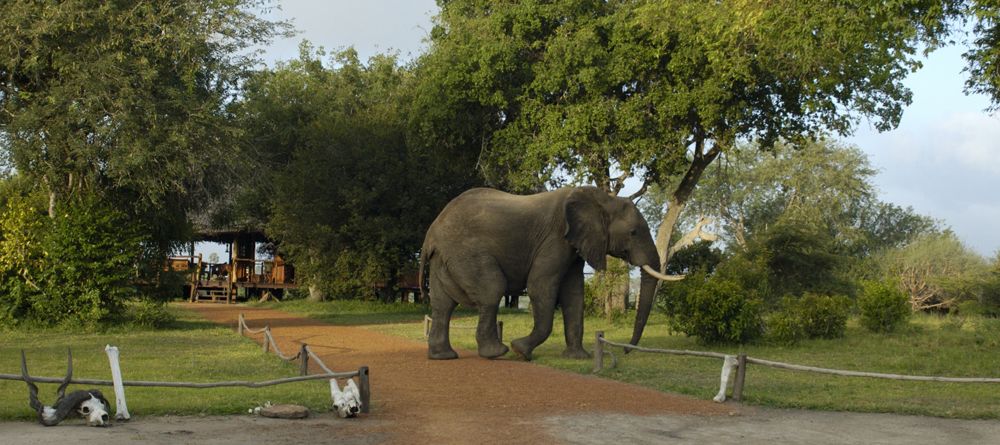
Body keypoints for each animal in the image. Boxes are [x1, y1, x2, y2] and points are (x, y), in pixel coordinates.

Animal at [418, 186, 676, 360]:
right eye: (633, 232)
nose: (625, 352)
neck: (603, 199)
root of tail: (432, 232)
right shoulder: (555, 238)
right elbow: (541, 286)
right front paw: (520, 350)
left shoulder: (574, 245)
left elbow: (574, 293)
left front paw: (578, 358)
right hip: (465, 251)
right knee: (492, 289)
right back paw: (497, 352)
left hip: (445, 258)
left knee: (443, 304)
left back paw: (444, 356)